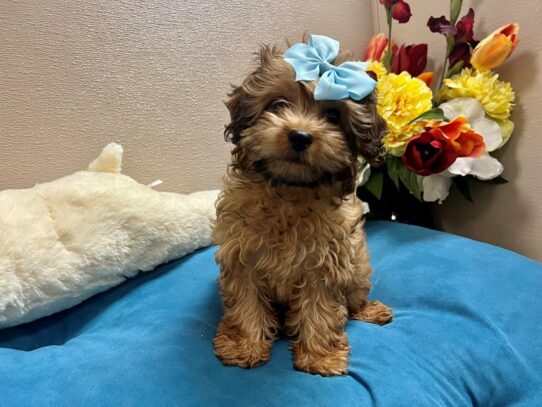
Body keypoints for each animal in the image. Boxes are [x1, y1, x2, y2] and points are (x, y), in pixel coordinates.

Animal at [214, 36, 396, 378]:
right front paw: (244, 345)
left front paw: (320, 357)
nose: (300, 136)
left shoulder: (326, 263)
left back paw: (370, 311)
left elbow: (321, 308)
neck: (290, 190)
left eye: (333, 117)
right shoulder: (242, 255)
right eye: (277, 105)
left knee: (354, 299)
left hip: (359, 267)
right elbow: (245, 300)